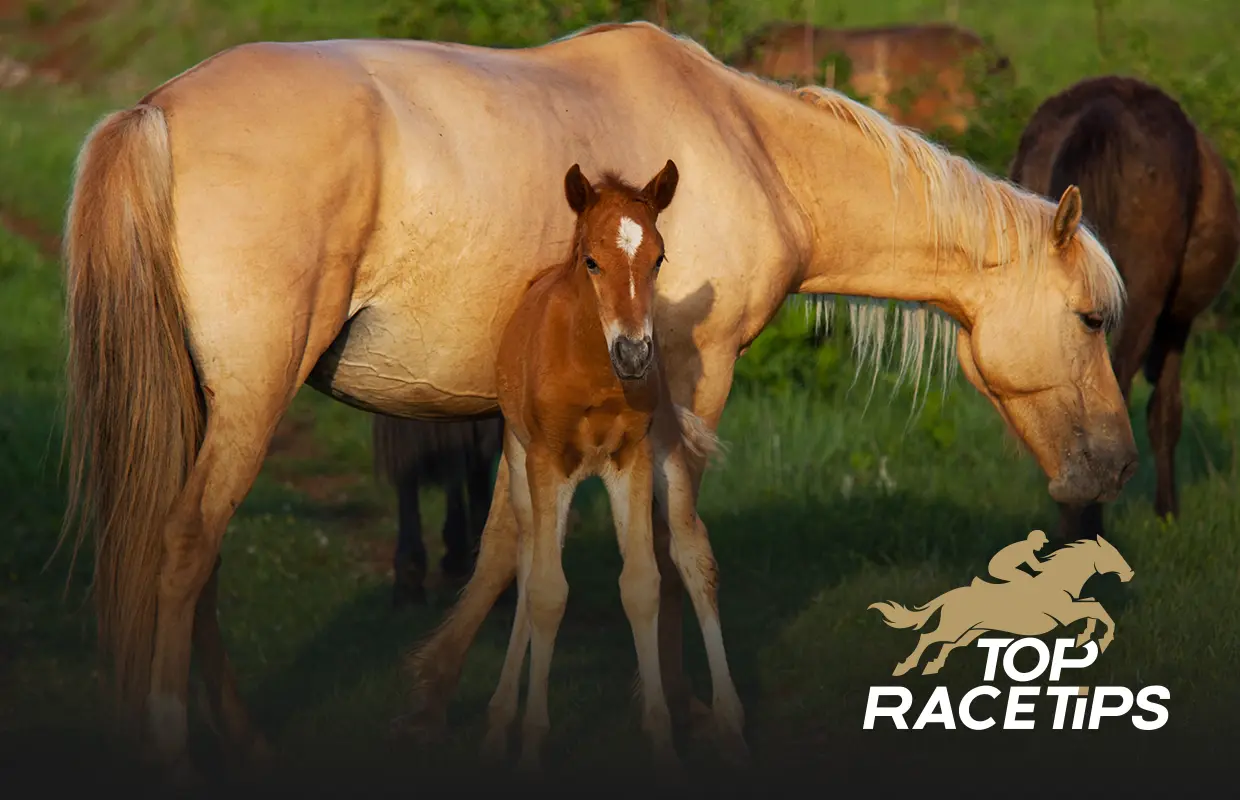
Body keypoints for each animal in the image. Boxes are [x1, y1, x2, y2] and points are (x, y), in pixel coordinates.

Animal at [479, 160, 744, 774]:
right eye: (591, 260)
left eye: (659, 259)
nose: (634, 355)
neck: (593, 373)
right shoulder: (545, 461)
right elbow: (546, 591)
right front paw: (532, 742)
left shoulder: (635, 459)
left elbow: (642, 584)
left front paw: (663, 743)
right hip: (524, 466)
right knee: (529, 562)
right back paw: (501, 718)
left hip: (667, 455)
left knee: (693, 554)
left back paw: (729, 721)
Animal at [869, 535, 1135, 677]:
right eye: (1112, 554)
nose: (1130, 573)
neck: (1059, 581)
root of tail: (949, 595)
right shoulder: (1065, 613)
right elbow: (1096, 607)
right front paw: (1100, 640)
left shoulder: (1071, 608)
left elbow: (1093, 606)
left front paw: (1085, 637)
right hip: (954, 628)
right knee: (928, 637)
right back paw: (905, 667)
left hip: (971, 632)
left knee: (947, 645)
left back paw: (932, 668)